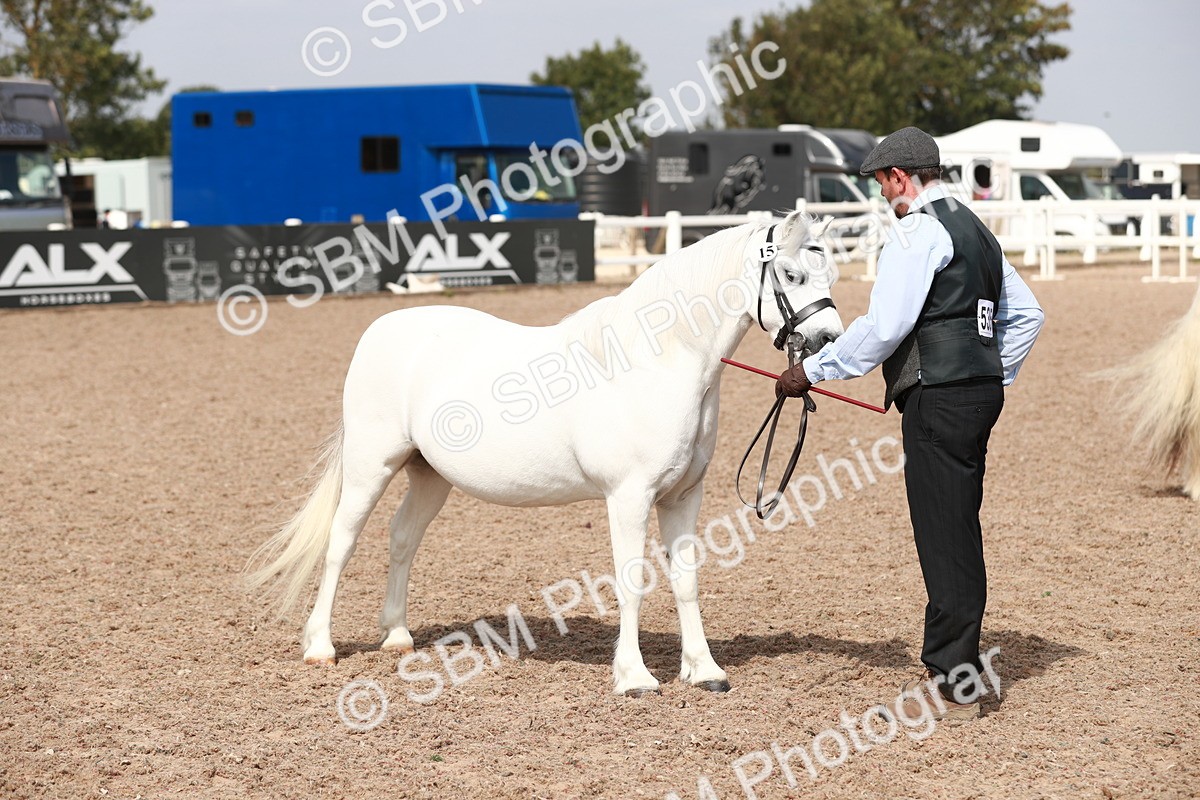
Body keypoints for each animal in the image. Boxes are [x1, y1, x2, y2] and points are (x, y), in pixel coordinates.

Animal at [246, 211, 845, 696]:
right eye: (791, 275)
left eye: (829, 274)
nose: (828, 342)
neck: (656, 361)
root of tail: (381, 328)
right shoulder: (628, 497)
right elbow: (631, 581)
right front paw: (634, 677)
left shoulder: (682, 497)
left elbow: (686, 581)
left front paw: (705, 672)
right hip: (372, 465)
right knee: (341, 543)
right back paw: (320, 647)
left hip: (430, 475)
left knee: (402, 539)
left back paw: (397, 636)